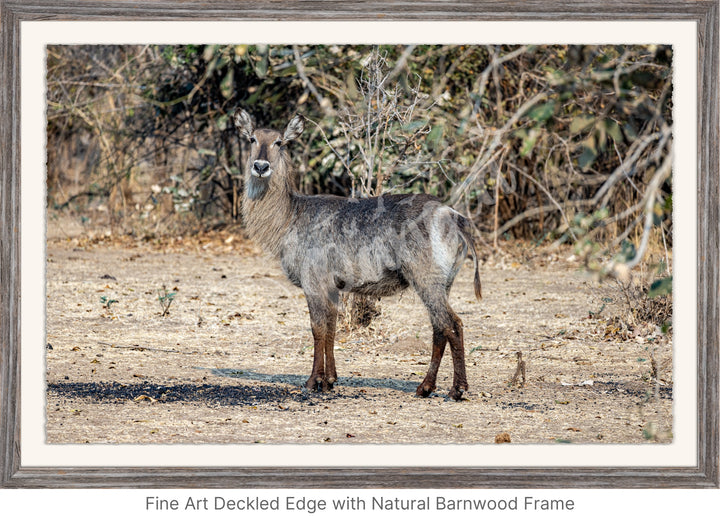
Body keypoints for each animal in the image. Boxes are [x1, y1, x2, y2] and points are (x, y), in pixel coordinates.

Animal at [233, 108, 480, 400]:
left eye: (279, 142)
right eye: (251, 138)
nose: (260, 166)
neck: (290, 216)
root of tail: (453, 215)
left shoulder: (313, 281)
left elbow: (317, 328)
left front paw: (313, 381)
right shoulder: (332, 286)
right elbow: (331, 328)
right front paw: (330, 380)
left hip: (425, 278)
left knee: (453, 324)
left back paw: (458, 389)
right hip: (444, 283)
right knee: (439, 328)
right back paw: (425, 387)